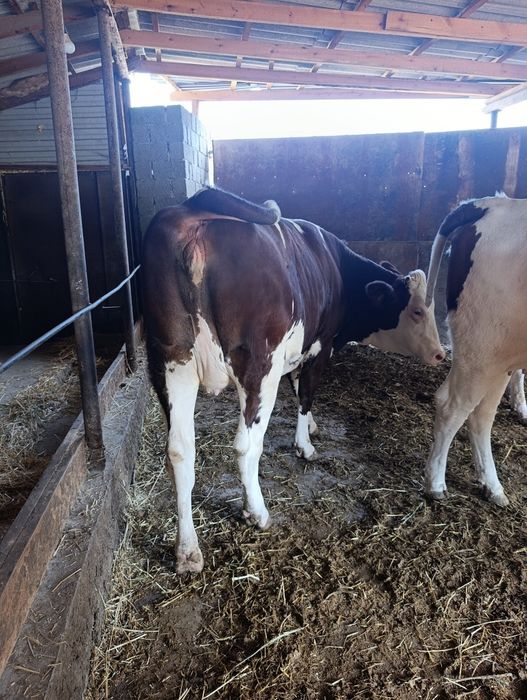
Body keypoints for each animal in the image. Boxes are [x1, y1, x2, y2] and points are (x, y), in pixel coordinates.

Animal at [142, 187, 444, 573]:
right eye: (418, 310)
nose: (440, 354)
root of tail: (191, 212)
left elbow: (298, 386)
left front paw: (312, 427)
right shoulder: (320, 345)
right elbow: (306, 394)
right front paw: (306, 444)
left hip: (171, 363)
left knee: (180, 451)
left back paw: (188, 550)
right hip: (258, 367)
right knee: (245, 445)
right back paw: (256, 511)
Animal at [424, 194, 527, 506]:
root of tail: (486, 203)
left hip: (498, 355)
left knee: (480, 414)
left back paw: (492, 486)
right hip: (482, 346)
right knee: (453, 406)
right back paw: (436, 483)